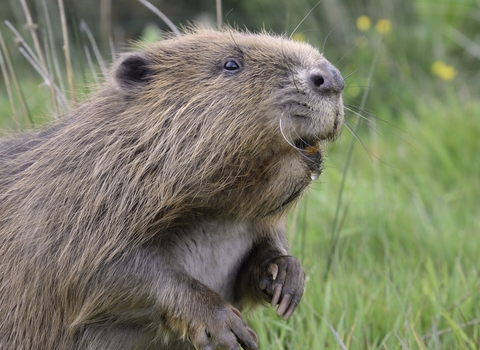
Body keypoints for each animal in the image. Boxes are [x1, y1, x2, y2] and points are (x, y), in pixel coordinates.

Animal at [0, 28, 344, 350]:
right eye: (231, 64)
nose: (331, 78)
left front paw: (287, 278)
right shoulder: (68, 215)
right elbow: (105, 274)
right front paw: (229, 328)